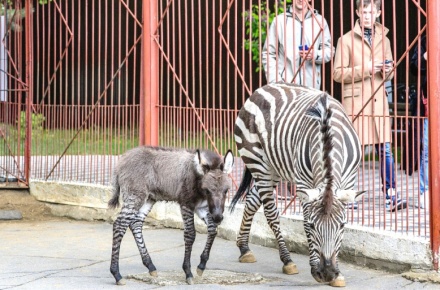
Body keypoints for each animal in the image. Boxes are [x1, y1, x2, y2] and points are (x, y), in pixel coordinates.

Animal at [108, 146, 235, 284]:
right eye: (207, 190)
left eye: (226, 190)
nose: (218, 217)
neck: (197, 177)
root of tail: (122, 160)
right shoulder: (186, 205)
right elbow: (190, 234)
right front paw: (188, 272)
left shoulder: (201, 207)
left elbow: (212, 230)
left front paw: (201, 265)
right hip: (135, 197)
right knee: (119, 225)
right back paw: (117, 274)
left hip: (148, 199)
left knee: (135, 223)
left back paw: (150, 265)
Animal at [232, 82, 362, 286]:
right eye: (313, 226)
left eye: (342, 226)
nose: (327, 273)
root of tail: (261, 89)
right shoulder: (304, 183)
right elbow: (304, 222)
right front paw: (314, 268)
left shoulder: (349, 181)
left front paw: (339, 275)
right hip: (257, 161)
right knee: (271, 214)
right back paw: (287, 261)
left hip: (274, 169)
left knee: (252, 200)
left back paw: (244, 249)